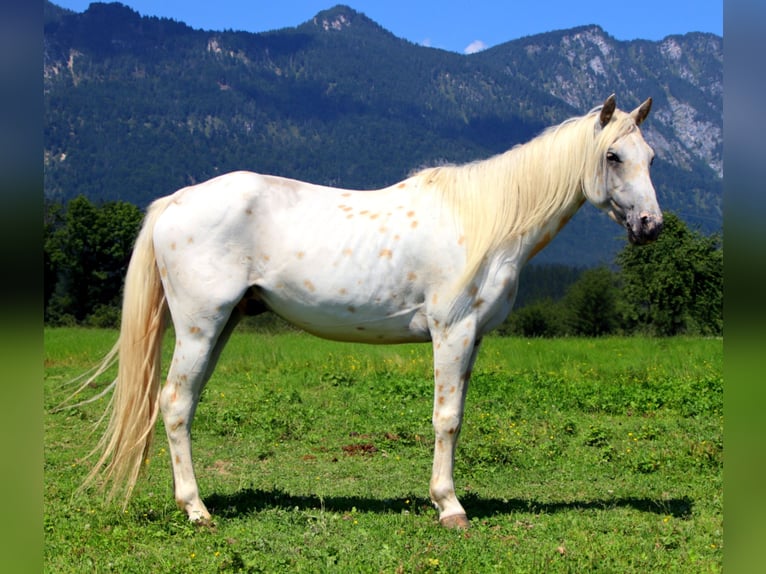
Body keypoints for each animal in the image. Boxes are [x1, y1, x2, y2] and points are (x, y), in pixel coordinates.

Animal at [71, 94, 662, 529]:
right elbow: (446, 419)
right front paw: (449, 507)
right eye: (612, 156)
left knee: (185, 403)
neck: (486, 221)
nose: (651, 226)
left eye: (651, 157)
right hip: (200, 325)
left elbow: (459, 417)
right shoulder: (452, 332)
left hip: (222, 325)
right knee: (173, 403)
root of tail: (177, 200)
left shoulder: (473, 339)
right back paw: (196, 510)